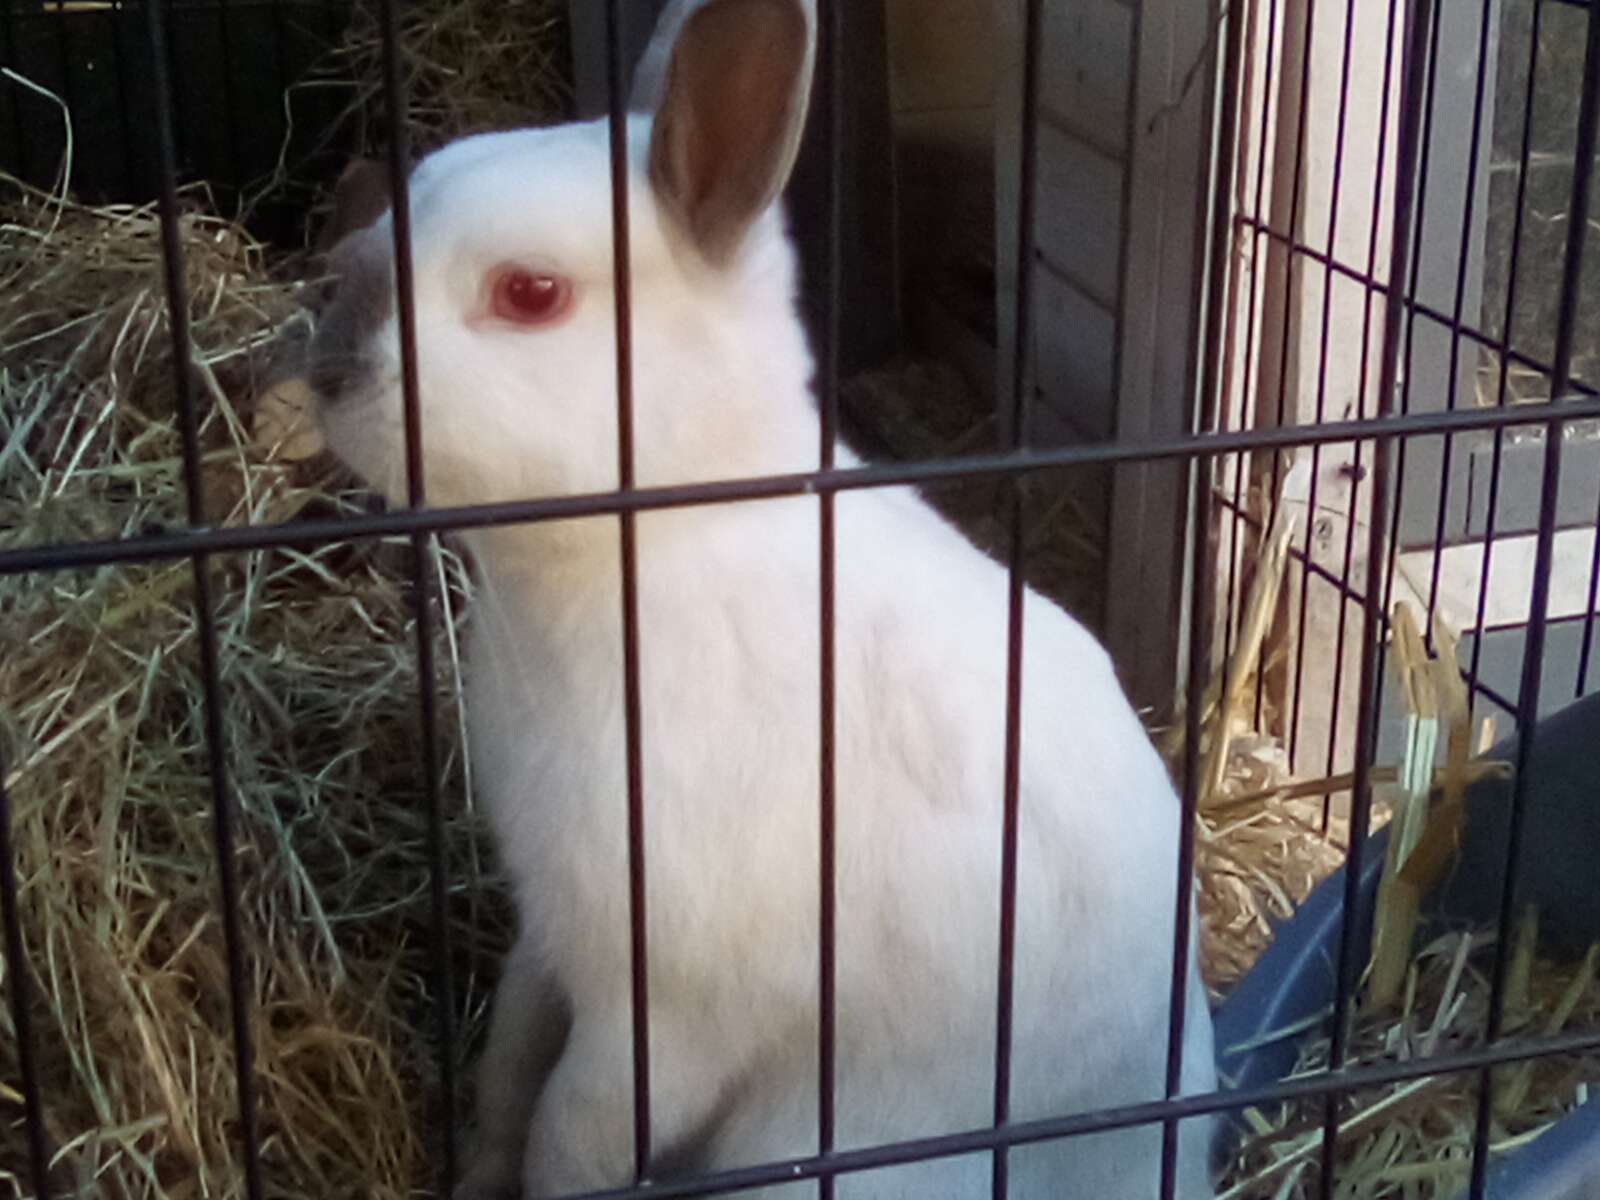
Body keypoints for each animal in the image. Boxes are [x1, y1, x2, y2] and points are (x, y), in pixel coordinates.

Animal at [307, 0, 1218, 1196]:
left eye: (530, 293)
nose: (322, 369)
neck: (657, 541)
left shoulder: (667, 1015)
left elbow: (569, 1136)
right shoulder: (550, 931)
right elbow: (508, 1066)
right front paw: (471, 1177)